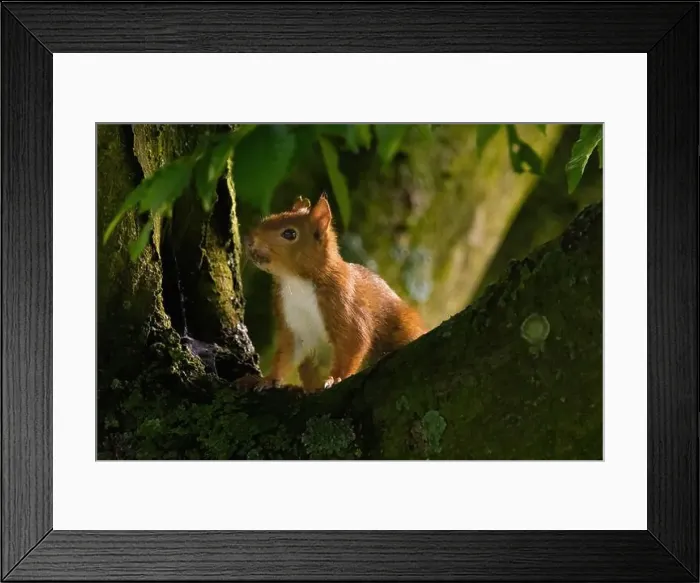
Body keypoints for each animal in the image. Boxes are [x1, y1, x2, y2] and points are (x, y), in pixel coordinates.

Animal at [244, 193, 426, 392]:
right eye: (268, 218)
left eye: (289, 233)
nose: (249, 240)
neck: (297, 281)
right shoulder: (292, 322)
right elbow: (287, 354)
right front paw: (268, 379)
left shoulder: (346, 306)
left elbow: (353, 342)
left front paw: (335, 378)